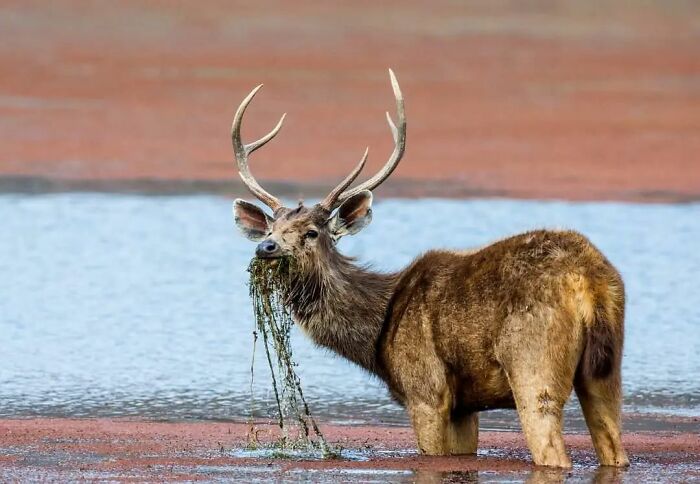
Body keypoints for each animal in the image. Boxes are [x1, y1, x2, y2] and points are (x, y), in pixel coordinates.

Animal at [230, 70, 628, 466]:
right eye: (271, 230)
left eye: (311, 232)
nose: (266, 248)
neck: (378, 336)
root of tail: (587, 281)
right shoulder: (465, 407)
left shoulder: (426, 390)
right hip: (607, 370)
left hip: (533, 364)